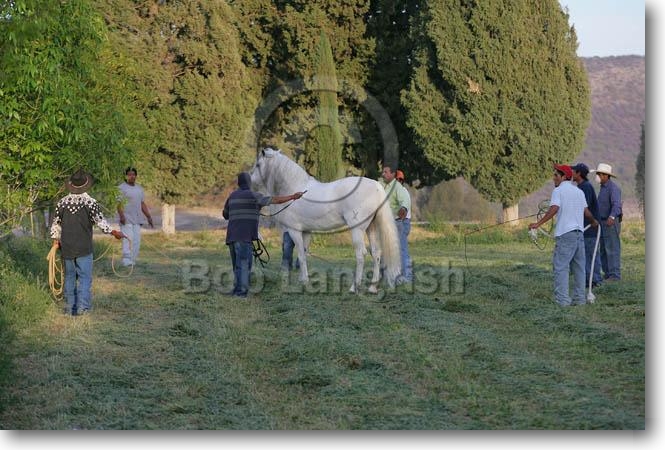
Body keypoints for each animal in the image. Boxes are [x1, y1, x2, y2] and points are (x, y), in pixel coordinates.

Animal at [250, 148, 401, 293]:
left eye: (258, 165)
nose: (251, 180)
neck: (294, 188)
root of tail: (377, 187)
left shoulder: (295, 231)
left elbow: (300, 254)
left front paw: (304, 281)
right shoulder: (306, 231)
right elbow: (304, 254)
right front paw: (303, 279)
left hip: (357, 230)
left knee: (361, 254)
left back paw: (354, 287)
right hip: (371, 227)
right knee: (376, 253)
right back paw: (372, 287)